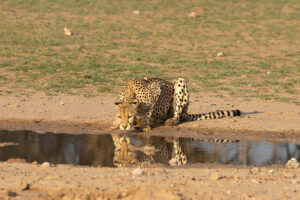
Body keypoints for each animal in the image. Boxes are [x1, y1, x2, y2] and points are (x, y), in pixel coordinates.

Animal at [111, 77, 240, 132]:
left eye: (129, 116)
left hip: (180, 82)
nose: (124, 126)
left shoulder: (156, 91)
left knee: (177, 116)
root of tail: (186, 112)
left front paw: (145, 125)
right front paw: (115, 124)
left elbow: (148, 113)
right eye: (119, 116)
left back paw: (171, 121)